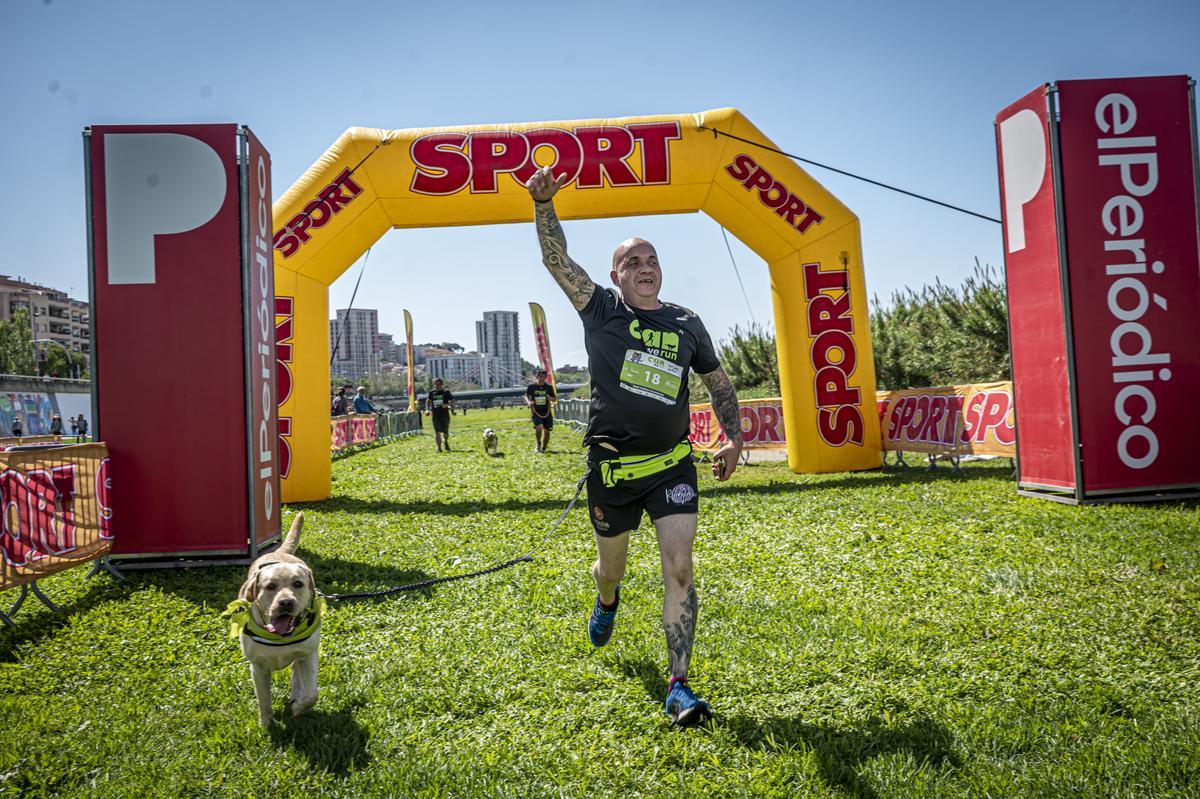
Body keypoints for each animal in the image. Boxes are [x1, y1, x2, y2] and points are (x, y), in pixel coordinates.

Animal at [228, 513, 324, 724]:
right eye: (270, 586)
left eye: (298, 584)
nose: (286, 602)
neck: (279, 636)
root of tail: (280, 552)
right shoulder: (258, 667)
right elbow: (264, 699)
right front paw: (267, 724)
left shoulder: (308, 655)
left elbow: (312, 694)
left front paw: (299, 709)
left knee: (297, 677)